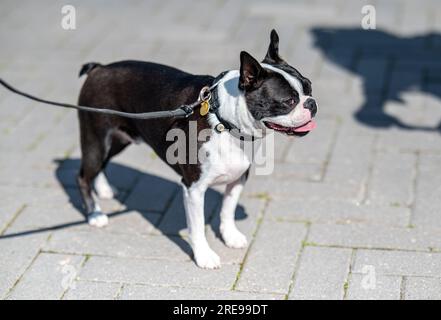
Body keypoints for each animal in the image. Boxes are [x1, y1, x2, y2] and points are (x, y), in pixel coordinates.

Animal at [76, 30, 316, 268]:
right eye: (288, 101)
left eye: (309, 87)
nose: (311, 103)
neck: (224, 121)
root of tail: (99, 68)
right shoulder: (194, 188)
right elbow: (198, 226)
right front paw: (204, 256)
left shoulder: (238, 178)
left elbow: (227, 210)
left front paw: (230, 236)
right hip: (96, 139)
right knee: (84, 175)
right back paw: (95, 213)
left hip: (119, 138)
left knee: (100, 166)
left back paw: (104, 190)